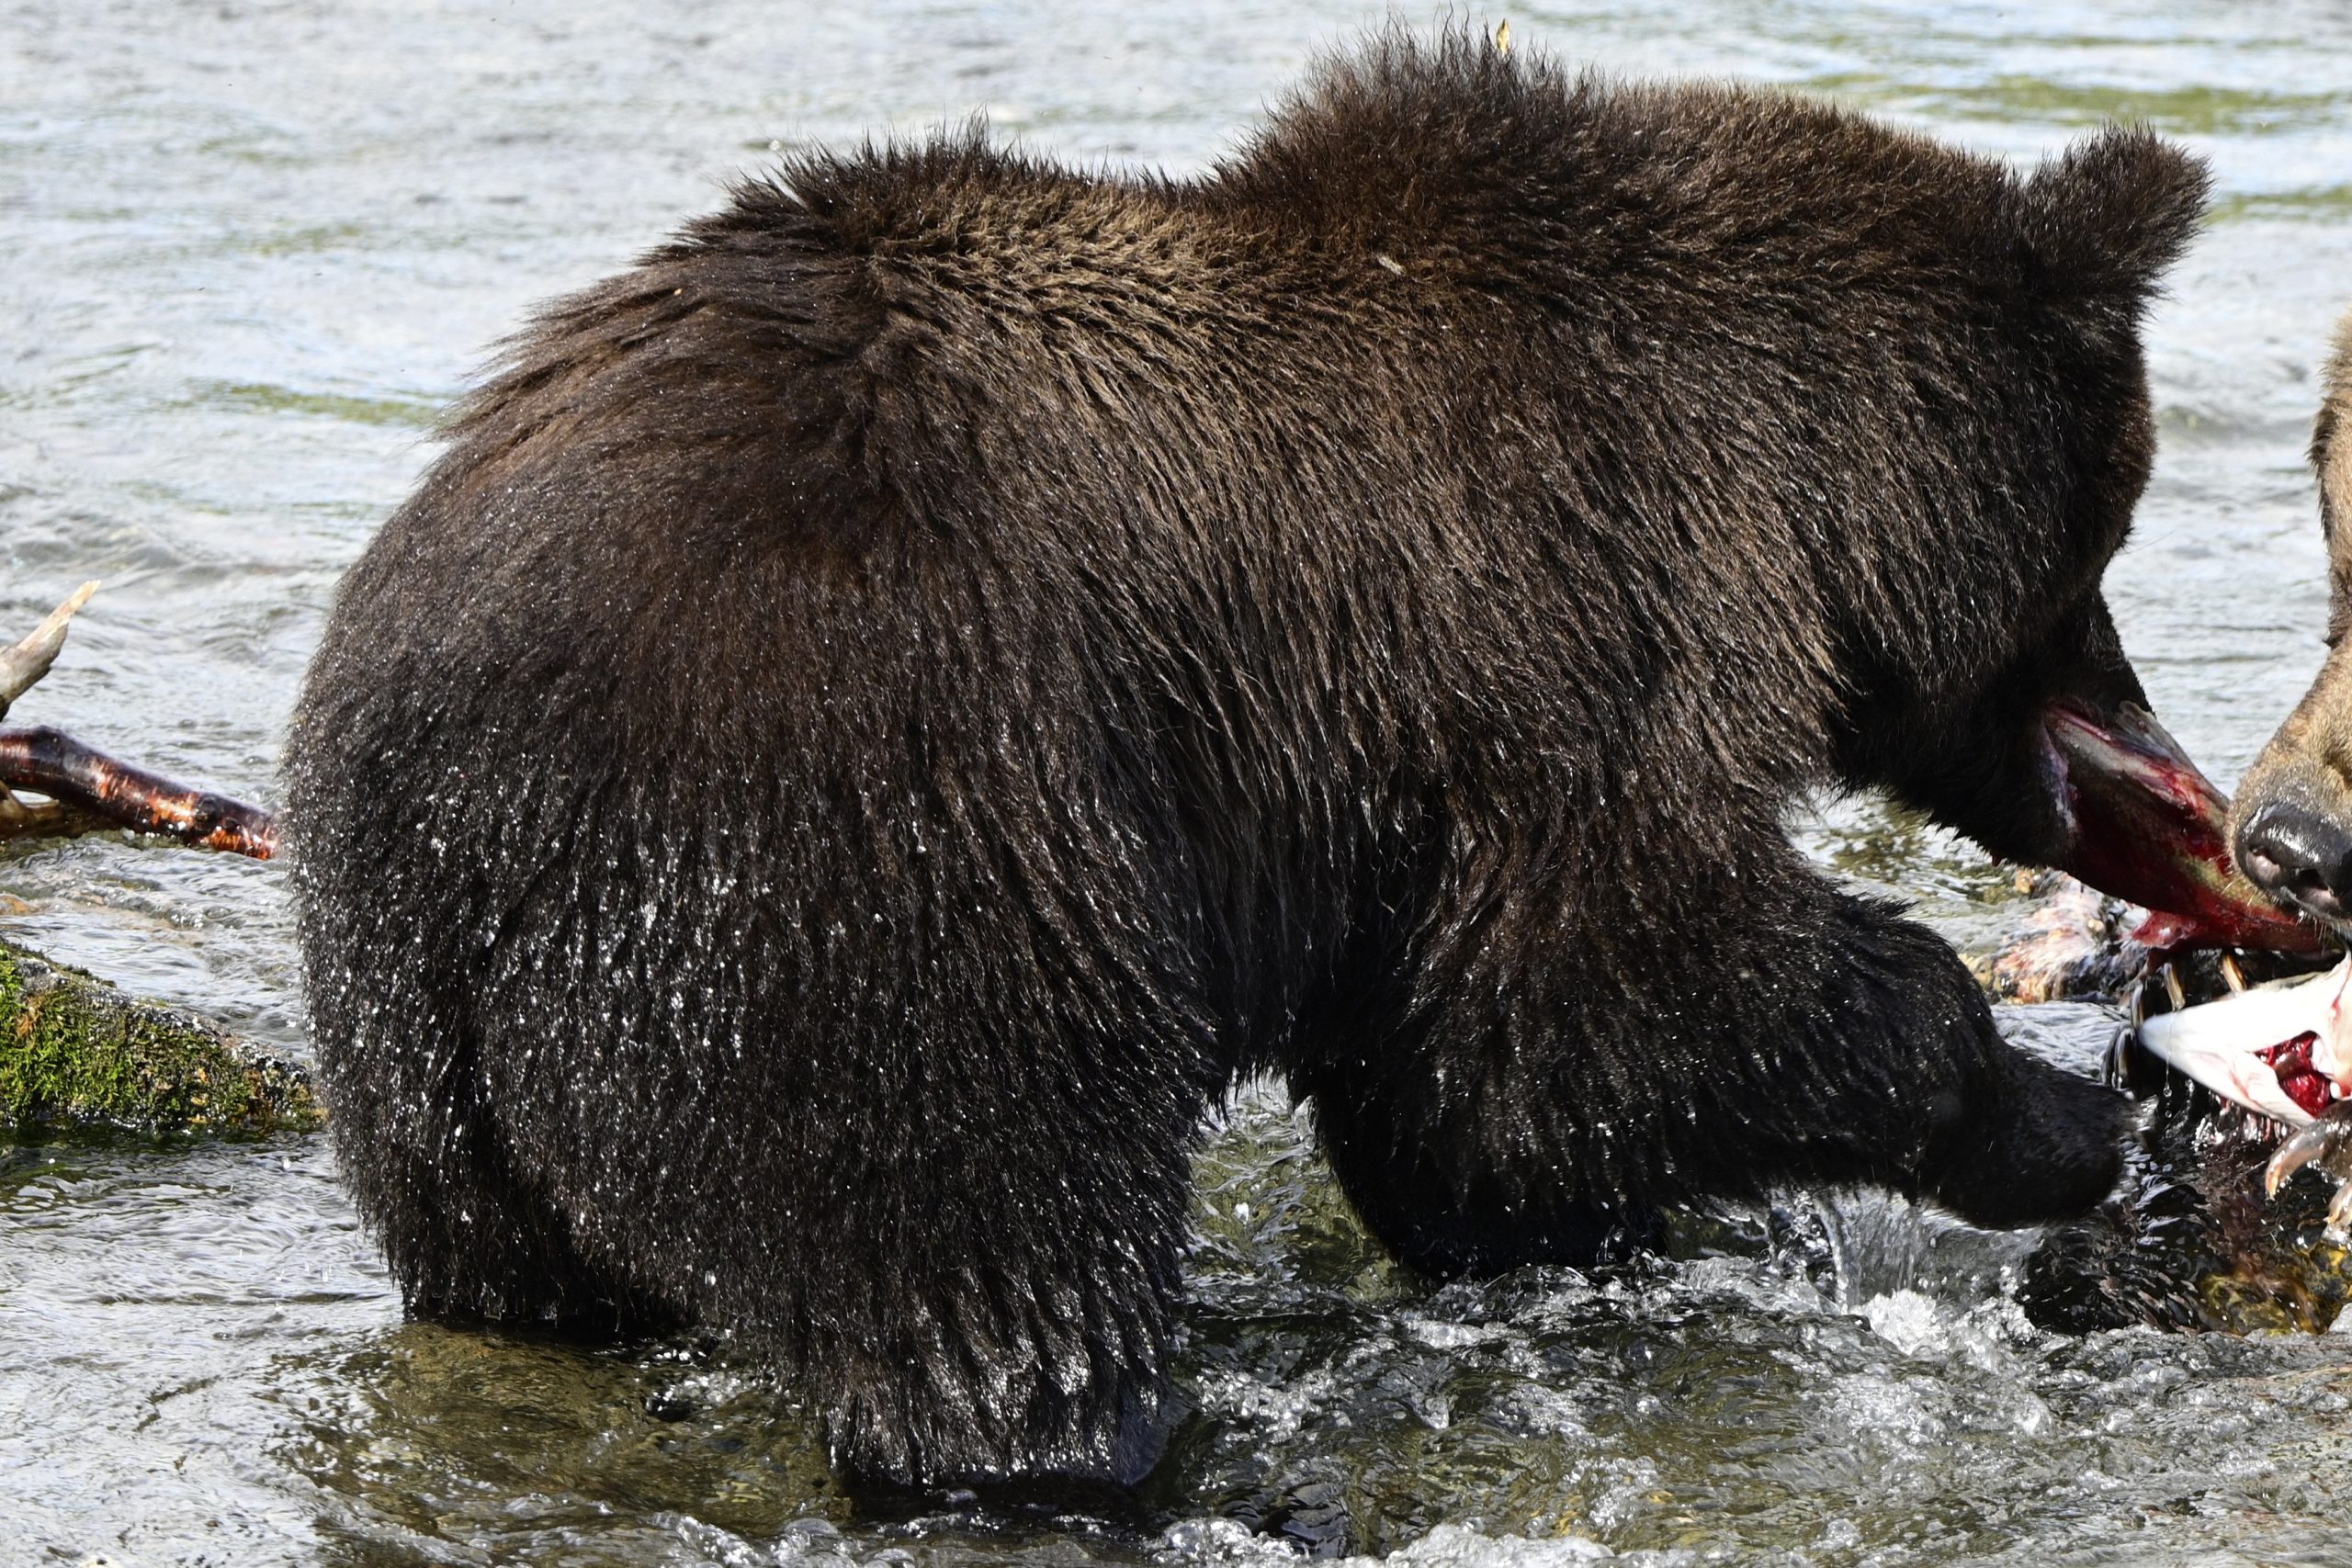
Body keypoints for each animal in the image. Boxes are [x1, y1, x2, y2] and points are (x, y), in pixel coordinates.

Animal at [285, 31, 2256, 1490]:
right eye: (2105, 539)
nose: (2180, 771)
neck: (1770, 480)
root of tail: (452, 799)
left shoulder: (1414, 786)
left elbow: (1470, 1097)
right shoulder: (1546, 636)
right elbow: (1597, 999)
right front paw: (2061, 1115)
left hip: (413, 1052)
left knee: (518, 1268)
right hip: (868, 843)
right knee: (975, 1227)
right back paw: (1102, 1448)